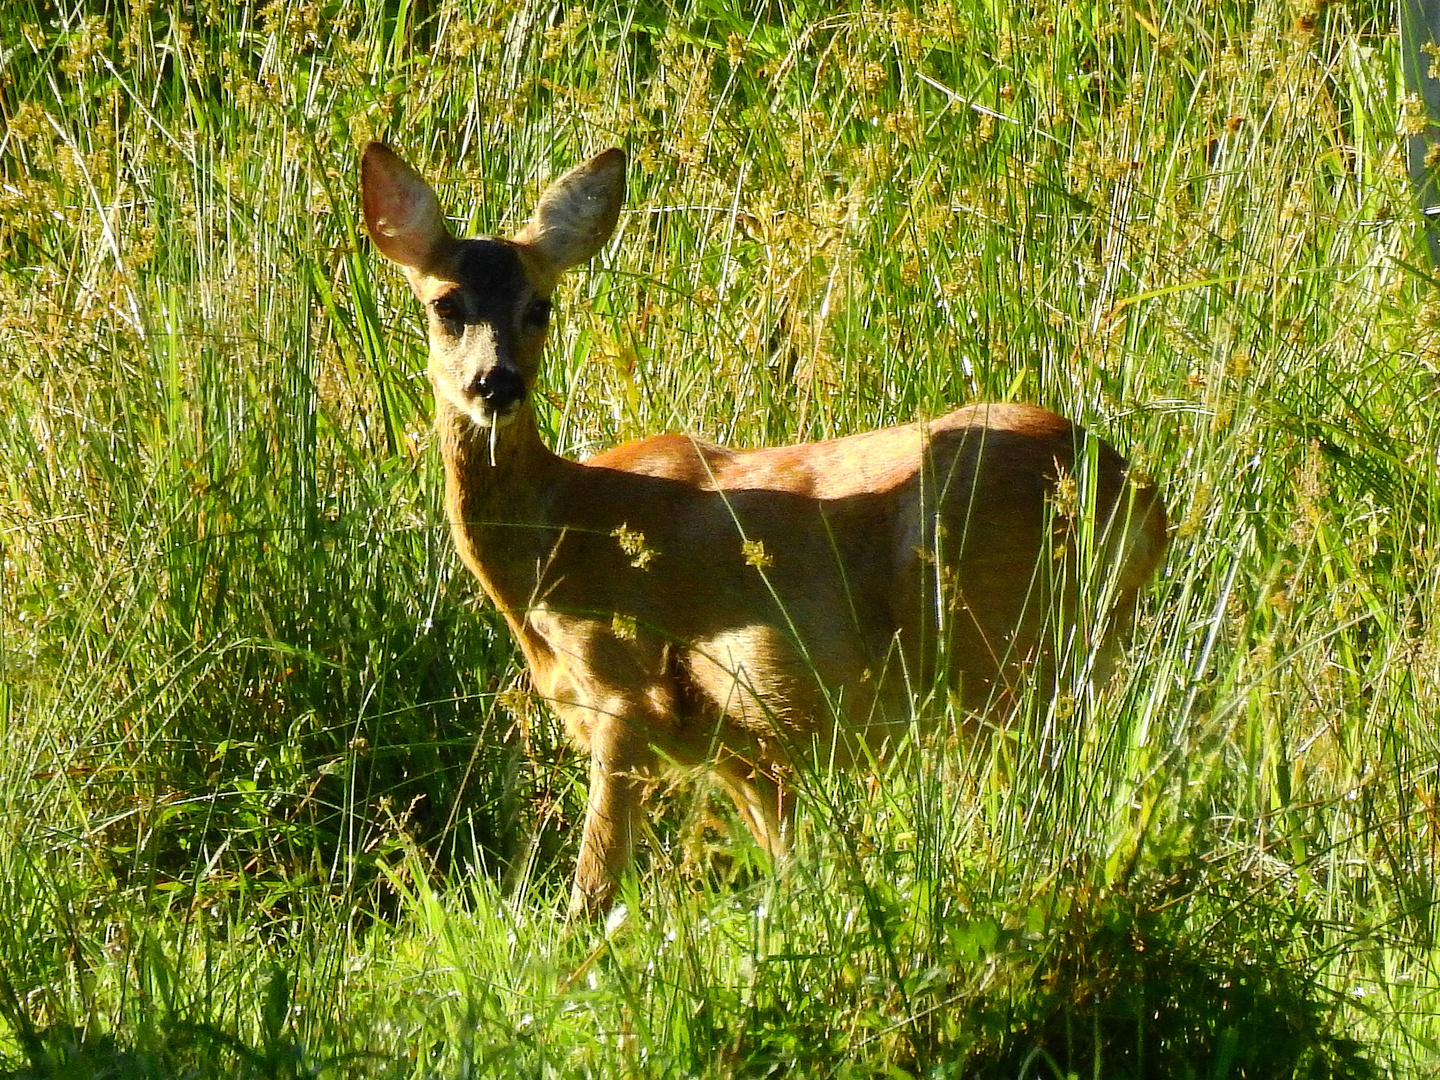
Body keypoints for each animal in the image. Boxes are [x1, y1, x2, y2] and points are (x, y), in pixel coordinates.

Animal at [354, 144, 1163, 915]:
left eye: (541, 305)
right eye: (445, 304)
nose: (496, 383)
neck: (554, 532)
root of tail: (1133, 489)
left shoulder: (627, 687)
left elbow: (593, 889)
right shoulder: (744, 750)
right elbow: (791, 869)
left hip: (996, 646)